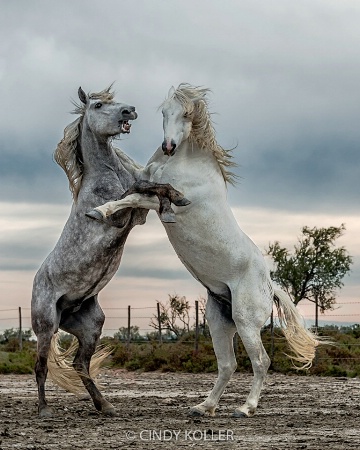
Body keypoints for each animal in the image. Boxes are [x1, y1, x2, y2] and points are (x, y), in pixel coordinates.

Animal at [31, 87, 188, 418]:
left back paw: (105, 405)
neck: (108, 173)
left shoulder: (137, 213)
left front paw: (177, 199)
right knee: (41, 366)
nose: (130, 111)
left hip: (91, 325)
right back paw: (44, 410)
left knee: (80, 364)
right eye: (99, 104)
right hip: (46, 325)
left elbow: (153, 187)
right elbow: (135, 195)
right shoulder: (121, 218)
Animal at [89, 83, 320, 418]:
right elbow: (133, 179)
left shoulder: (164, 202)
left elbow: (132, 198)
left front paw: (100, 210)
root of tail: (270, 286)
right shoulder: (146, 177)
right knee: (228, 364)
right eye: (163, 112)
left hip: (246, 321)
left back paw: (245, 408)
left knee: (260, 361)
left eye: (186, 114)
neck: (184, 164)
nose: (168, 146)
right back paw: (204, 406)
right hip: (219, 321)